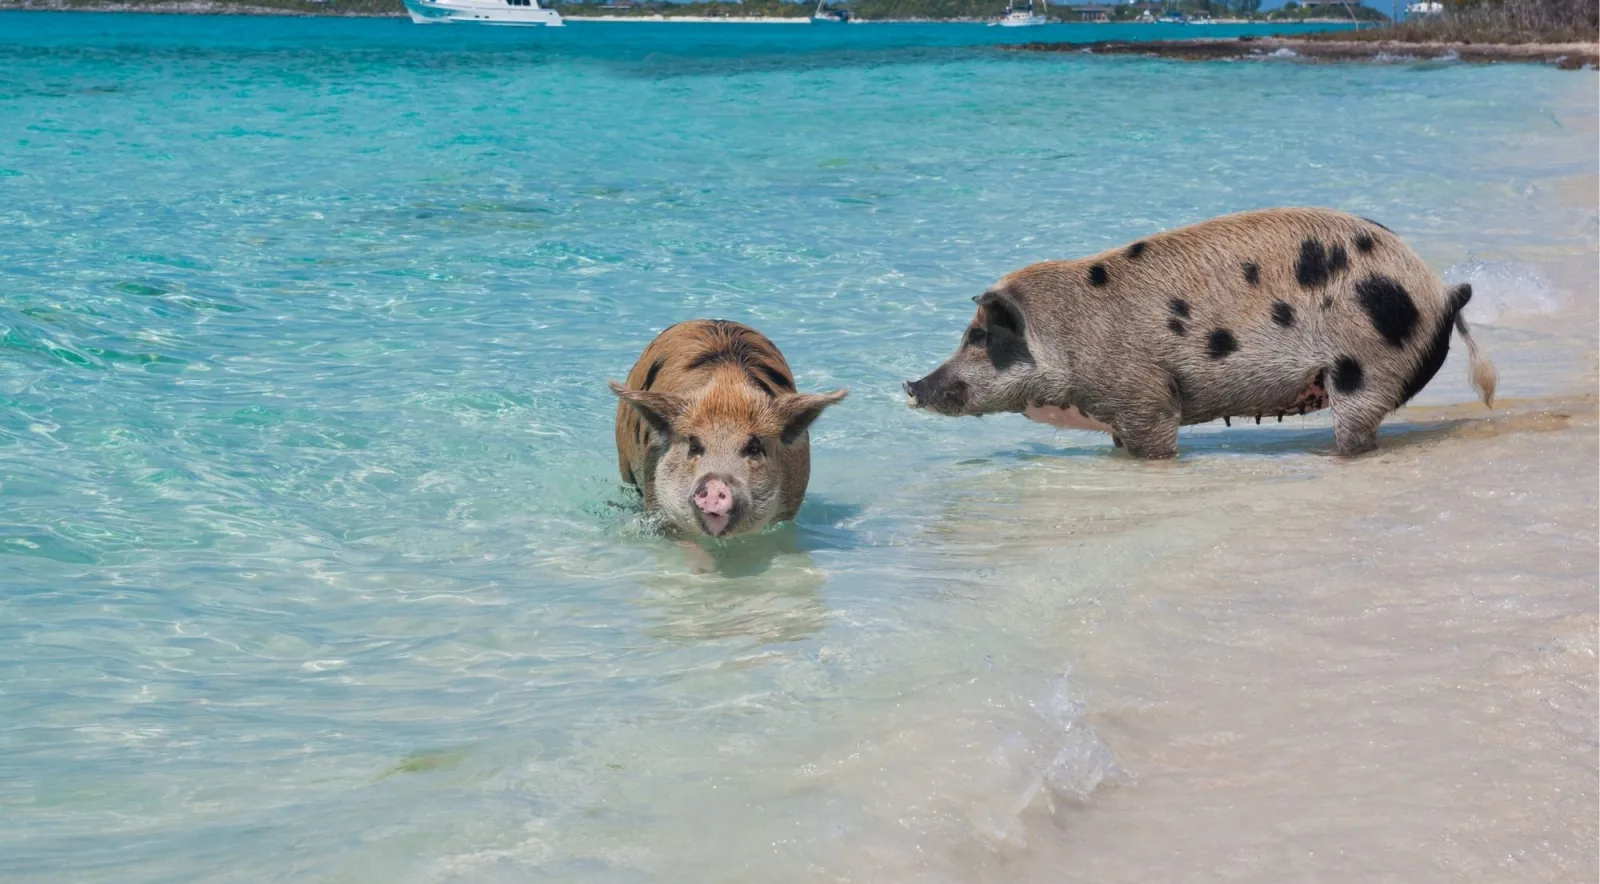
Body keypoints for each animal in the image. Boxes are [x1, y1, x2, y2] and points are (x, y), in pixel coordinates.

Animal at [903, 207, 1497, 458]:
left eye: (977, 338)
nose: (911, 385)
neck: (1069, 334)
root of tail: (1441, 290)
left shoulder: (1144, 394)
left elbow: (1156, 443)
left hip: (1366, 363)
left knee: (1357, 430)